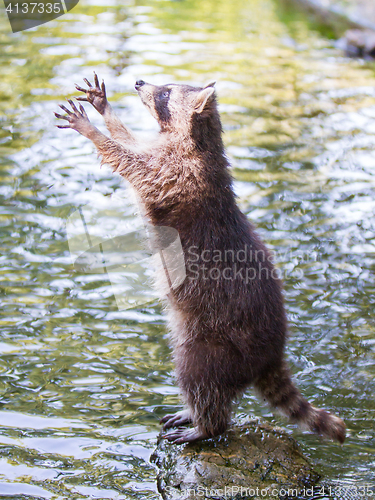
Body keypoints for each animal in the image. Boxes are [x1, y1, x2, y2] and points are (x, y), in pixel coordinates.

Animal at [55, 75, 346, 446]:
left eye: (165, 93)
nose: (139, 81)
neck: (200, 140)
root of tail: (271, 355)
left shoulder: (175, 171)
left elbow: (129, 161)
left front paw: (92, 130)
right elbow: (132, 144)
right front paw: (106, 112)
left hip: (216, 345)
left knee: (198, 377)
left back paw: (206, 424)